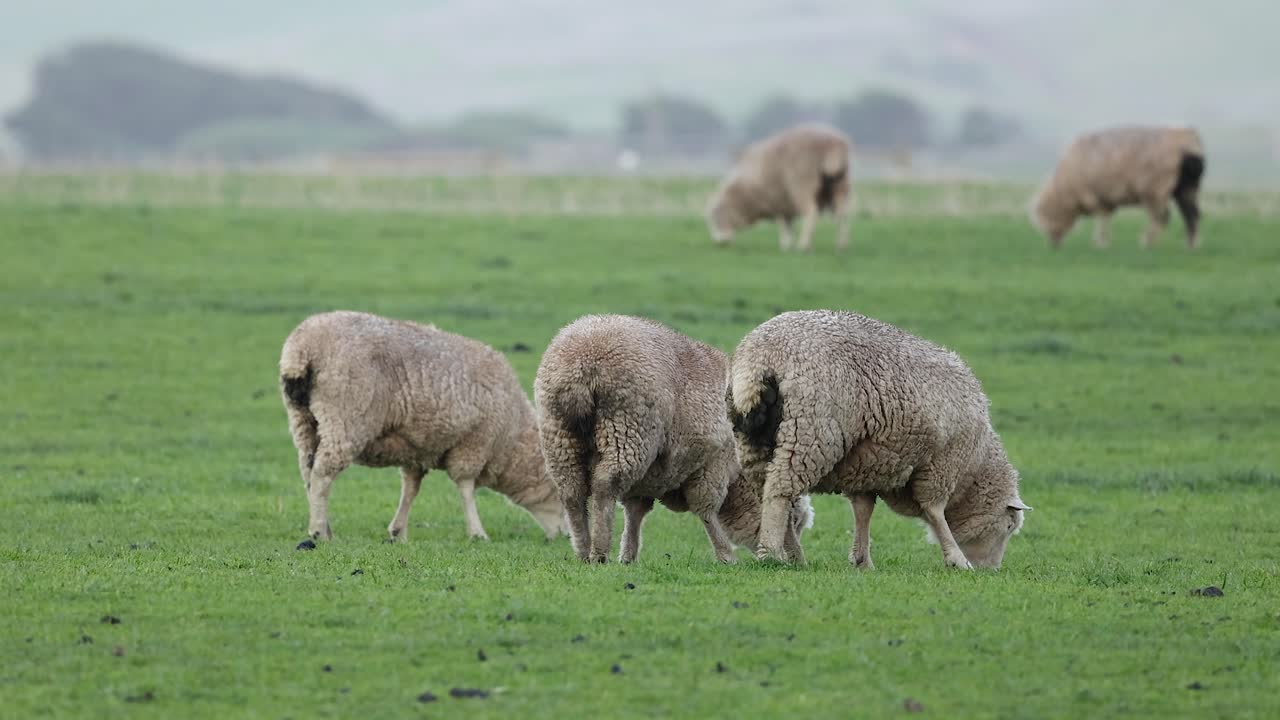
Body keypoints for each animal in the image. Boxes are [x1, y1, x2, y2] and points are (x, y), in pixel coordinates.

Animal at [278, 311, 566, 543]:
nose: (566, 536)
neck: (511, 438)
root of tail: (303, 349)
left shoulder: (416, 450)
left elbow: (411, 490)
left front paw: (398, 532)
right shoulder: (475, 441)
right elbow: (466, 487)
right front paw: (477, 532)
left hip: (304, 421)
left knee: (309, 473)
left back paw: (324, 527)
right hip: (346, 417)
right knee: (322, 475)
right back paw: (318, 531)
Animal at [535, 314, 808, 563]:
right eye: (793, 521)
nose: (795, 562)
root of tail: (582, 363)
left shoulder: (646, 482)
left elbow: (635, 514)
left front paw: (628, 555)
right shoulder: (713, 463)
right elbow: (706, 510)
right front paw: (725, 555)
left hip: (559, 435)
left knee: (571, 491)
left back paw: (583, 551)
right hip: (627, 428)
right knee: (604, 486)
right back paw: (599, 551)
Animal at [706, 123, 852, 252]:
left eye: (716, 217)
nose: (718, 244)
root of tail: (833, 146)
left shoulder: (778, 200)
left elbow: (784, 224)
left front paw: (786, 245)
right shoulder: (785, 203)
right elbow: (789, 224)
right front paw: (789, 243)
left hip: (803, 185)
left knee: (811, 213)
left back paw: (804, 245)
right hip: (841, 184)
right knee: (842, 214)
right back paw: (841, 245)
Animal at [727, 310, 1031, 570]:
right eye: (1008, 526)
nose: (990, 570)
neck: (975, 464)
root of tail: (758, 359)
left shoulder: (867, 463)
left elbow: (863, 510)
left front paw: (863, 560)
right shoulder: (942, 463)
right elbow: (935, 511)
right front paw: (957, 559)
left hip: (754, 440)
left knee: (769, 490)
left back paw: (793, 555)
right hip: (811, 431)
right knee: (780, 490)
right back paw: (773, 553)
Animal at [1031, 125, 1205, 249]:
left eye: (1046, 219)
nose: (1053, 245)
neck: (1065, 186)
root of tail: (1189, 140)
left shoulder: (1095, 196)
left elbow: (1101, 219)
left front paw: (1100, 243)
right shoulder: (1106, 198)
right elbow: (1106, 218)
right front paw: (1103, 242)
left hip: (1155, 190)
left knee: (1162, 217)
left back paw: (1147, 243)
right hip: (1187, 187)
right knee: (1193, 215)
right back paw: (1191, 245)